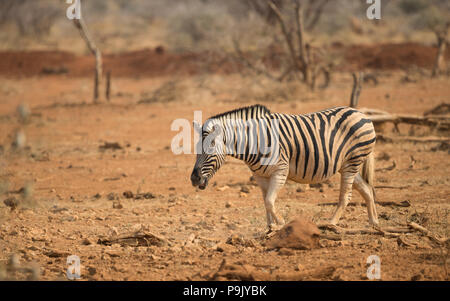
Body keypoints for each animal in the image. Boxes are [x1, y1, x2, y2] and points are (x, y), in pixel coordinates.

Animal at [188, 104, 378, 229]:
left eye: (211, 147)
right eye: (197, 149)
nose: (194, 179)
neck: (254, 141)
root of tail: (360, 113)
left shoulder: (280, 171)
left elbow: (270, 201)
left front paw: (281, 224)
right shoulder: (259, 175)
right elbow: (266, 202)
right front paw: (269, 228)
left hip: (352, 161)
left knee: (346, 197)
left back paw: (330, 224)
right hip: (348, 164)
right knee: (367, 189)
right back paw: (374, 222)